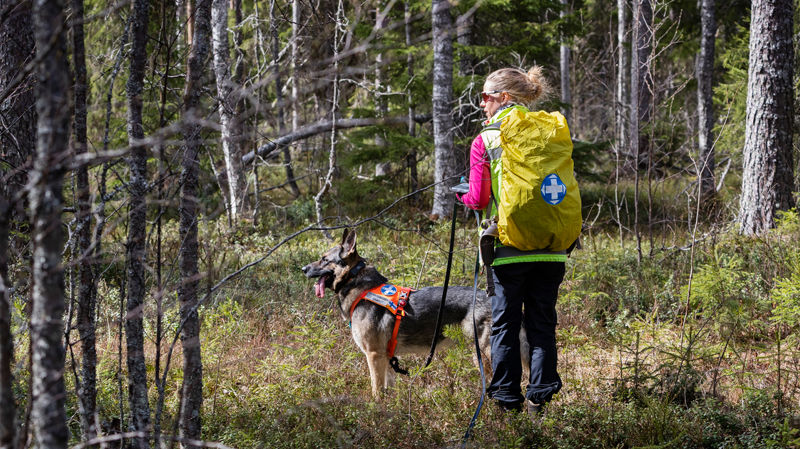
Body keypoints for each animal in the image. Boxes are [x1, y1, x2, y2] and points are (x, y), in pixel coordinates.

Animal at [304, 228, 528, 396]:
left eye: (324, 259)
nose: (303, 269)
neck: (357, 284)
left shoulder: (374, 355)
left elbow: (376, 392)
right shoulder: (386, 358)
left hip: (485, 355)